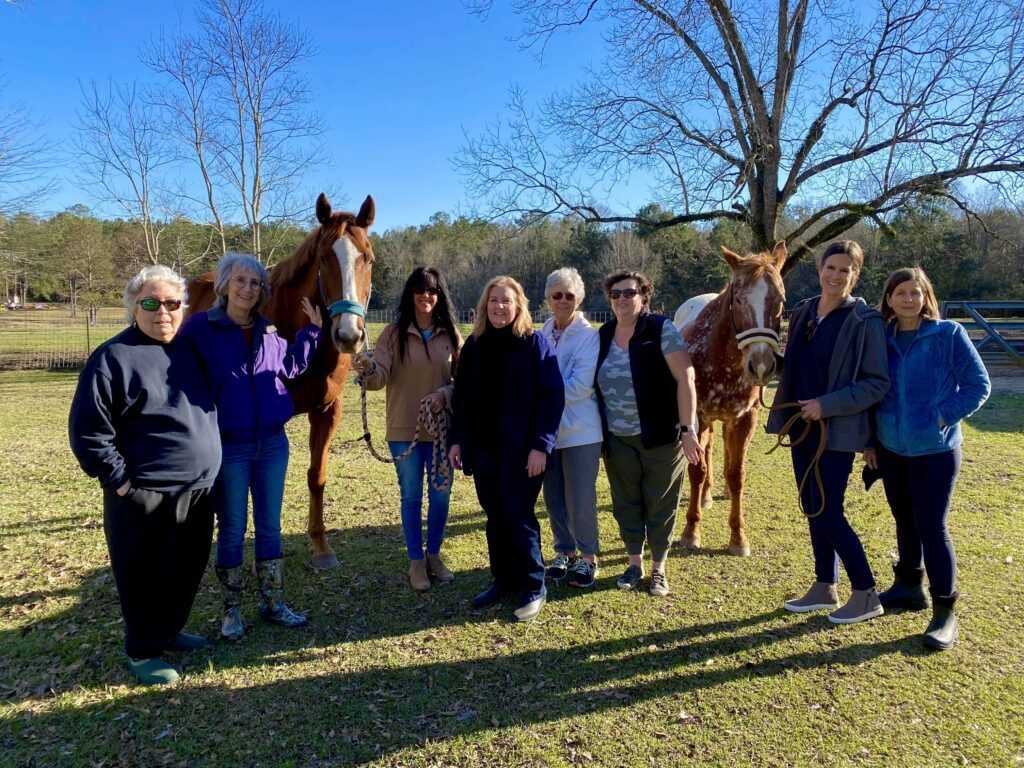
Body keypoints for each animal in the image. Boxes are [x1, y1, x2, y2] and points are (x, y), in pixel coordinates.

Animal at [189, 192, 376, 569]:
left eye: (368, 258)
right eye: (324, 257)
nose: (349, 335)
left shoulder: (328, 410)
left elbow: (316, 476)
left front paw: (321, 547)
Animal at [675, 243, 786, 557]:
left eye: (781, 300)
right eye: (737, 298)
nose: (761, 366)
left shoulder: (745, 418)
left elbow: (737, 475)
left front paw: (738, 538)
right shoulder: (698, 416)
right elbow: (697, 470)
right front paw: (691, 532)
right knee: (708, 450)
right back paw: (705, 496)